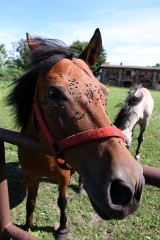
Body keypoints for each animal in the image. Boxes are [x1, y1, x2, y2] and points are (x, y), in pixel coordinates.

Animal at [7, 29, 145, 239]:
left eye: (104, 93)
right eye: (53, 94)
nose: (129, 186)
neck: (42, 152)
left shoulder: (63, 179)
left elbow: (62, 202)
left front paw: (62, 229)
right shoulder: (30, 176)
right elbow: (31, 202)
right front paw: (27, 226)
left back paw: (81, 186)